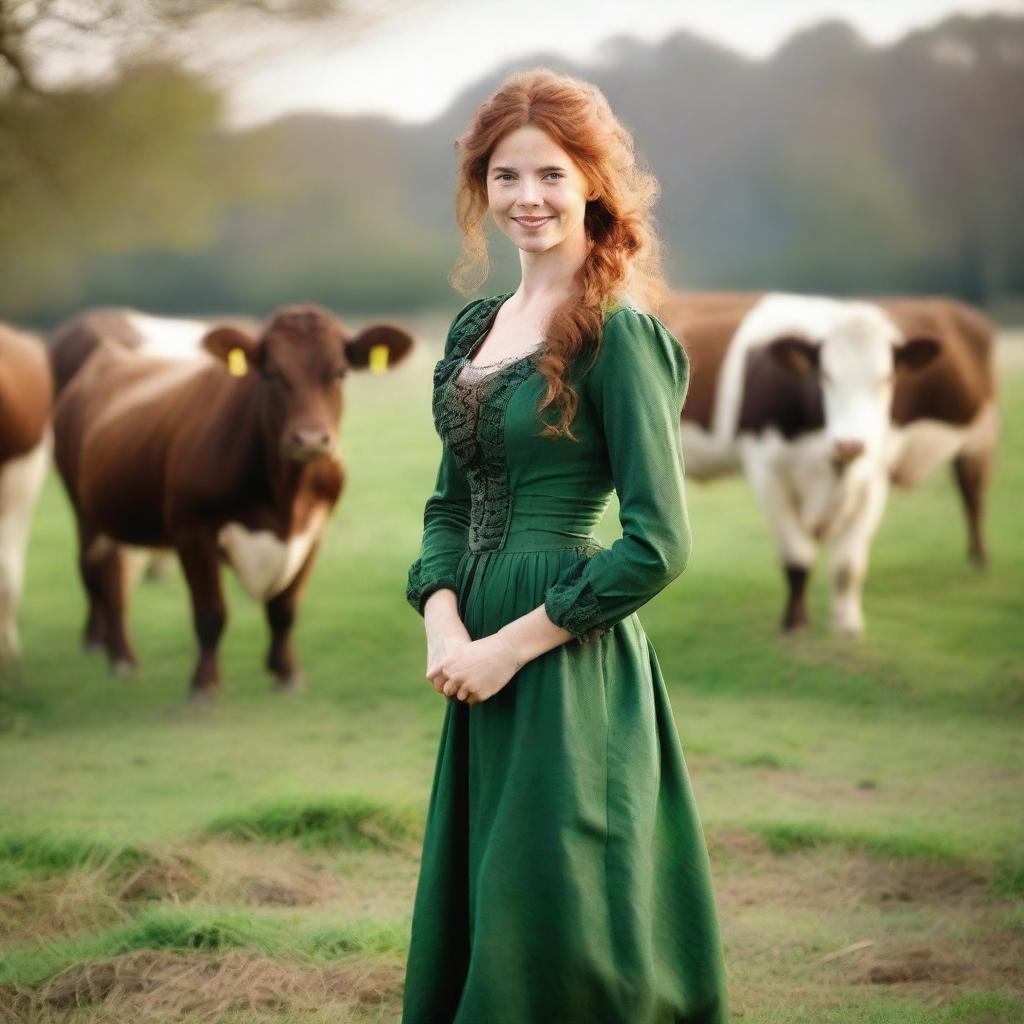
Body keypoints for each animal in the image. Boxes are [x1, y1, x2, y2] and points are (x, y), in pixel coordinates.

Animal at [50, 303, 411, 696]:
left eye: (340, 372)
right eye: (270, 373)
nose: (311, 440)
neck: (285, 495)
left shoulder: (313, 531)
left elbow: (285, 608)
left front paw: (286, 672)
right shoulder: (192, 530)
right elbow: (210, 614)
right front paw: (205, 684)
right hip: (84, 511)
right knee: (101, 577)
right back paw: (120, 658)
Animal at [659, 292, 995, 634]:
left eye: (888, 379)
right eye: (825, 376)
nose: (851, 443)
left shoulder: (874, 479)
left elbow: (848, 565)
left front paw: (847, 625)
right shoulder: (767, 472)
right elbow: (797, 558)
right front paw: (795, 624)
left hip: (980, 438)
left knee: (973, 495)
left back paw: (978, 561)